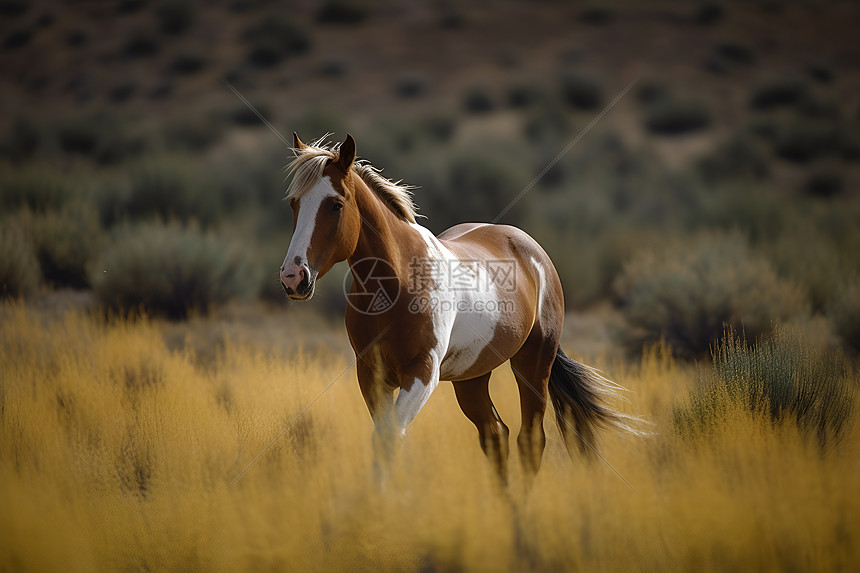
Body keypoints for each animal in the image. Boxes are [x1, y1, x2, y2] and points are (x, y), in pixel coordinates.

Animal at [278, 132, 636, 480]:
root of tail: (535, 254)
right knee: (496, 435)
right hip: (472, 378)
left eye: (335, 205)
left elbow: (391, 438)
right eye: (294, 203)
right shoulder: (370, 375)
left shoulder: (422, 372)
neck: (398, 283)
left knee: (530, 440)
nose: (293, 277)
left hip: (533, 364)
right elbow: (383, 439)